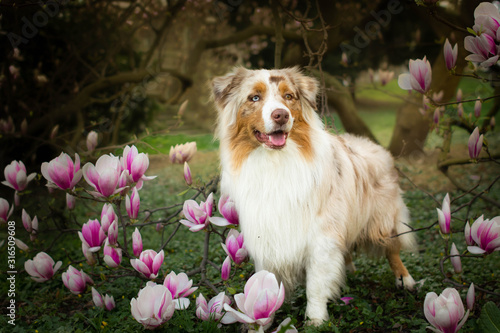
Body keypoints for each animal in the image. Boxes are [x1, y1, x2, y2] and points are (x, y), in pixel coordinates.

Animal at [212, 67, 418, 324]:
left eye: (289, 96)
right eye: (254, 98)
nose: (281, 115)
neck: (275, 161)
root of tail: (374, 145)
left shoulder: (322, 235)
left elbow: (316, 285)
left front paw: (315, 320)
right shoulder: (266, 234)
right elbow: (266, 284)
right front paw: (262, 321)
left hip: (383, 219)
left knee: (393, 248)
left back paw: (405, 279)